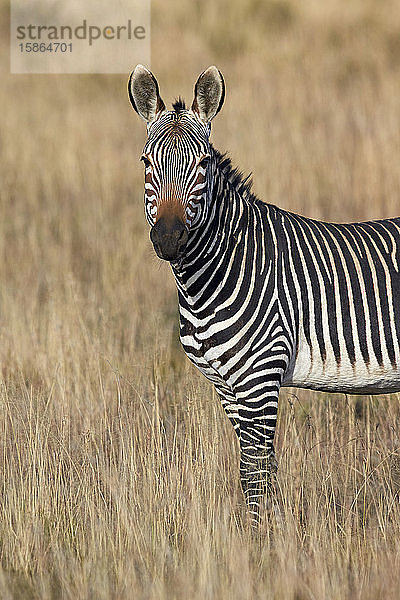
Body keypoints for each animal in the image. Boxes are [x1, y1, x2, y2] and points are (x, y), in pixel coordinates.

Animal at [126, 67, 400, 524]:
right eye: (147, 163)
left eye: (203, 164)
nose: (168, 238)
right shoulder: (228, 386)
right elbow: (258, 469)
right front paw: (266, 531)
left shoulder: (260, 378)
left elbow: (254, 471)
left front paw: (260, 538)